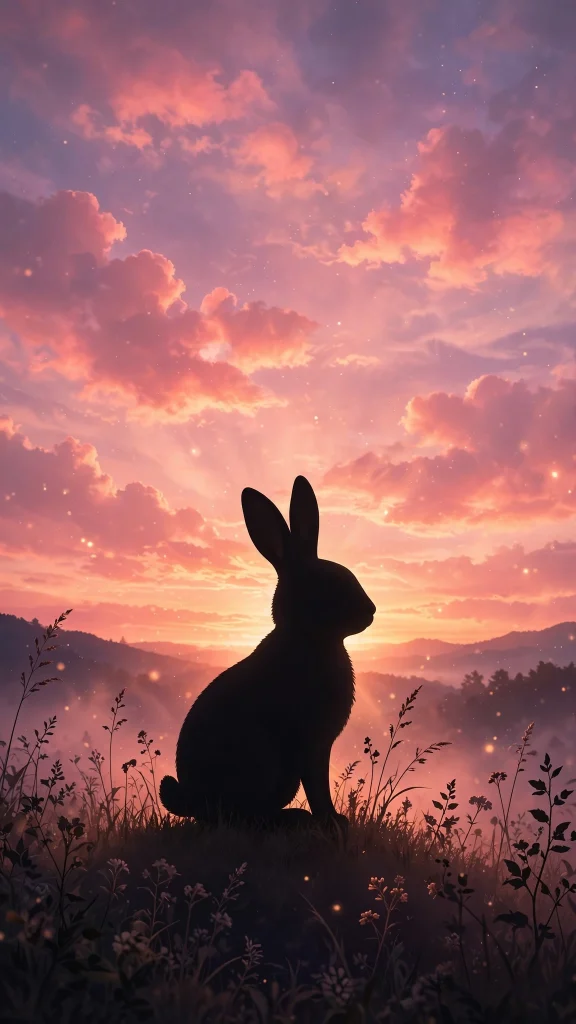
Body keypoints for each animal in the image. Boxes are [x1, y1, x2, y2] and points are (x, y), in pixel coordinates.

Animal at [159, 475, 376, 829]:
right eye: (326, 585)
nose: (371, 611)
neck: (308, 639)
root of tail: (194, 800)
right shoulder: (311, 745)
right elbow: (318, 789)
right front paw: (332, 824)